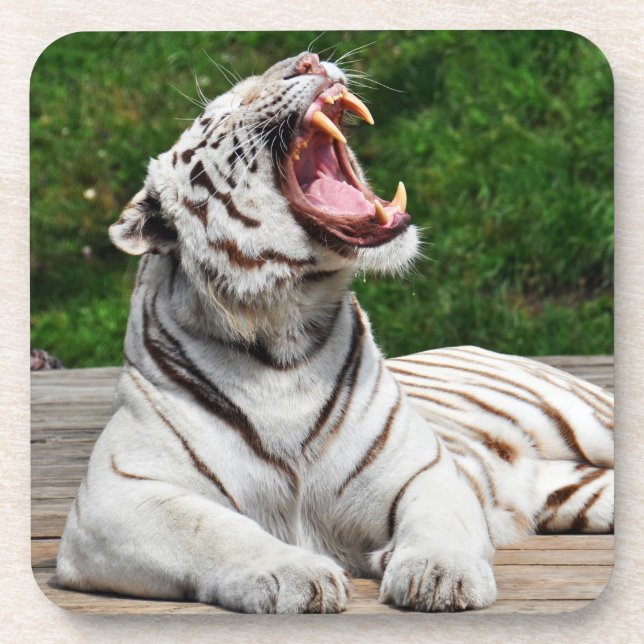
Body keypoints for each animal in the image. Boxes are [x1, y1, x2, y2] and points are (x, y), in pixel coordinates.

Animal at [56, 52, 614, 613]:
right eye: (220, 113)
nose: (308, 60)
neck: (283, 334)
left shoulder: (424, 469)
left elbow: (438, 521)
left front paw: (440, 575)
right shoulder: (116, 494)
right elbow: (212, 529)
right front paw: (292, 575)